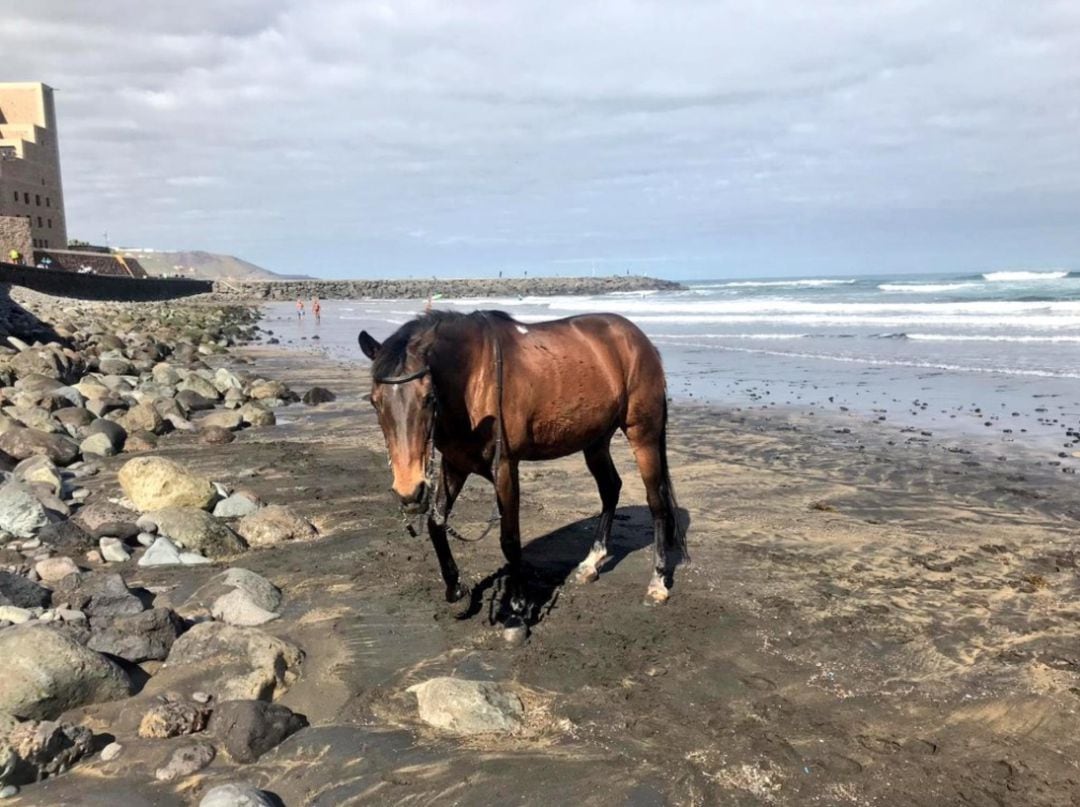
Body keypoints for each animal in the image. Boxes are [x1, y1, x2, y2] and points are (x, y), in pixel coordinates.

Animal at [358, 311, 686, 643]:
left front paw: (516, 613)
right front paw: (455, 589)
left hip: (643, 435)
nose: (409, 492)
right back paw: (591, 563)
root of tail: (638, 338)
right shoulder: (455, 464)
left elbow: (509, 539)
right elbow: (437, 524)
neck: (476, 377)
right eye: (374, 401)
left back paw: (657, 583)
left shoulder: (505, 468)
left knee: (656, 503)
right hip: (595, 441)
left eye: (427, 398)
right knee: (610, 489)